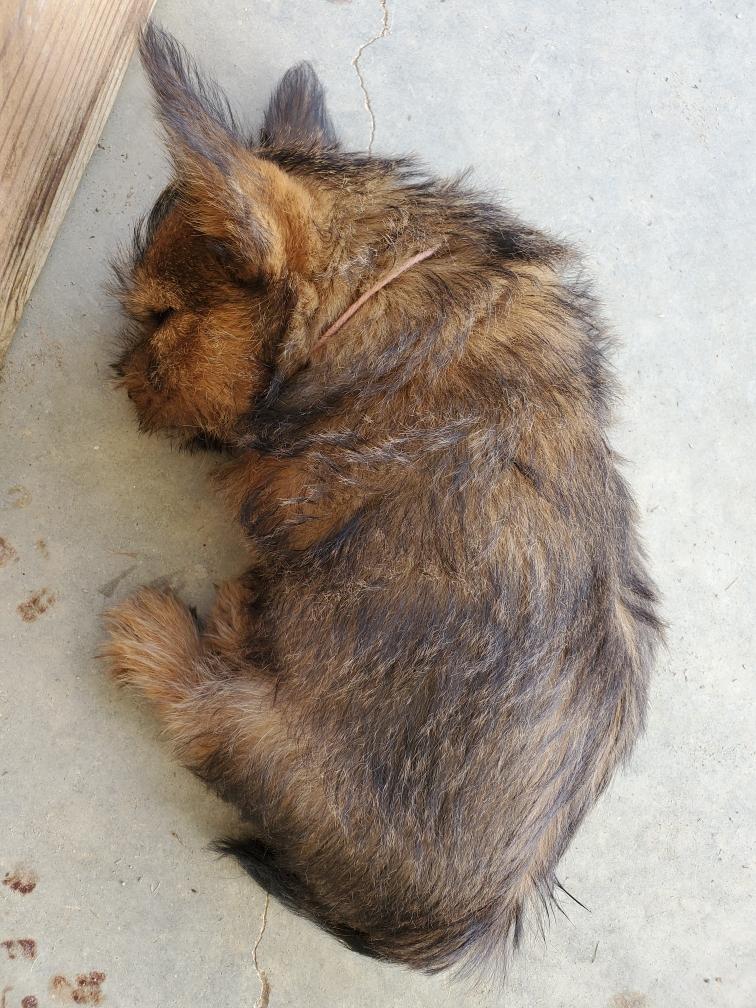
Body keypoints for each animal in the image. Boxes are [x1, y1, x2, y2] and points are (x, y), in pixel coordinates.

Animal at [103, 23, 662, 975]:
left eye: (162, 318)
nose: (117, 371)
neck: (383, 289)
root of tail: (456, 923)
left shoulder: (285, 487)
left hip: (281, 746)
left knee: (208, 721)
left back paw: (168, 634)